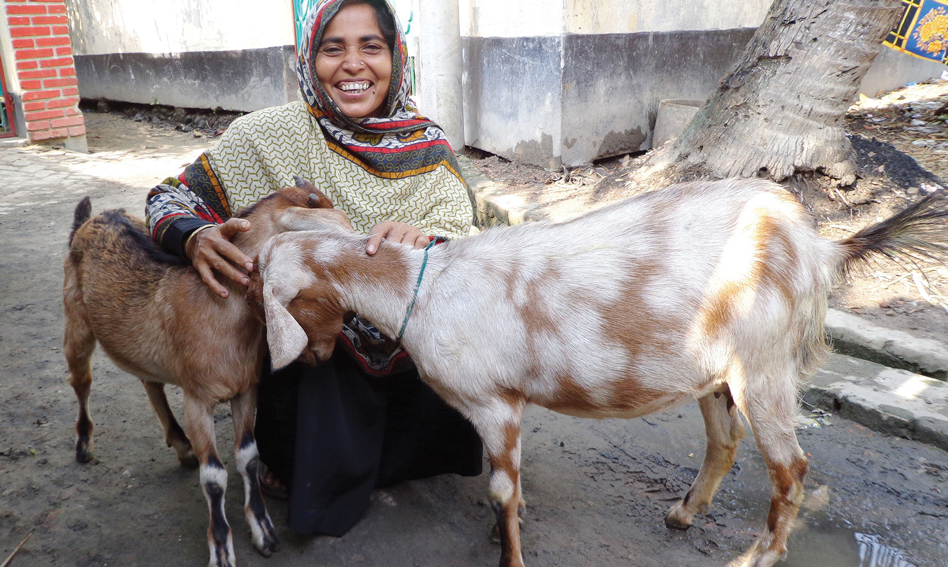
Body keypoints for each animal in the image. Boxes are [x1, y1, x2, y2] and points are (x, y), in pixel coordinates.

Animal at [63, 178, 351, 567]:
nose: (324, 353)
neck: (220, 314)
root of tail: (93, 217)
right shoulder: (197, 398)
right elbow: (213, 475)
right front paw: (221, 548)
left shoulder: (246, 389)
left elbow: (249, 457)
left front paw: (263, 530)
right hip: (75, 320)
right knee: (81, 380)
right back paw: (83, 445)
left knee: (149, 379)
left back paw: (182, 446)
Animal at [250, 178, 948, 567]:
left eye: (276, 302)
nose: (312, 359)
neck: (425, 292)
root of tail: (819, 246)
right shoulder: (502, 406)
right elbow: (509, 486)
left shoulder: (493, 402)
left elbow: (500, 491)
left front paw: (510, 554)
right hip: (718, 371)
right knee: (725, 440)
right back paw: (682, 515)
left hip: (765, 364)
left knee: (792, 468)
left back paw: (755, 558)